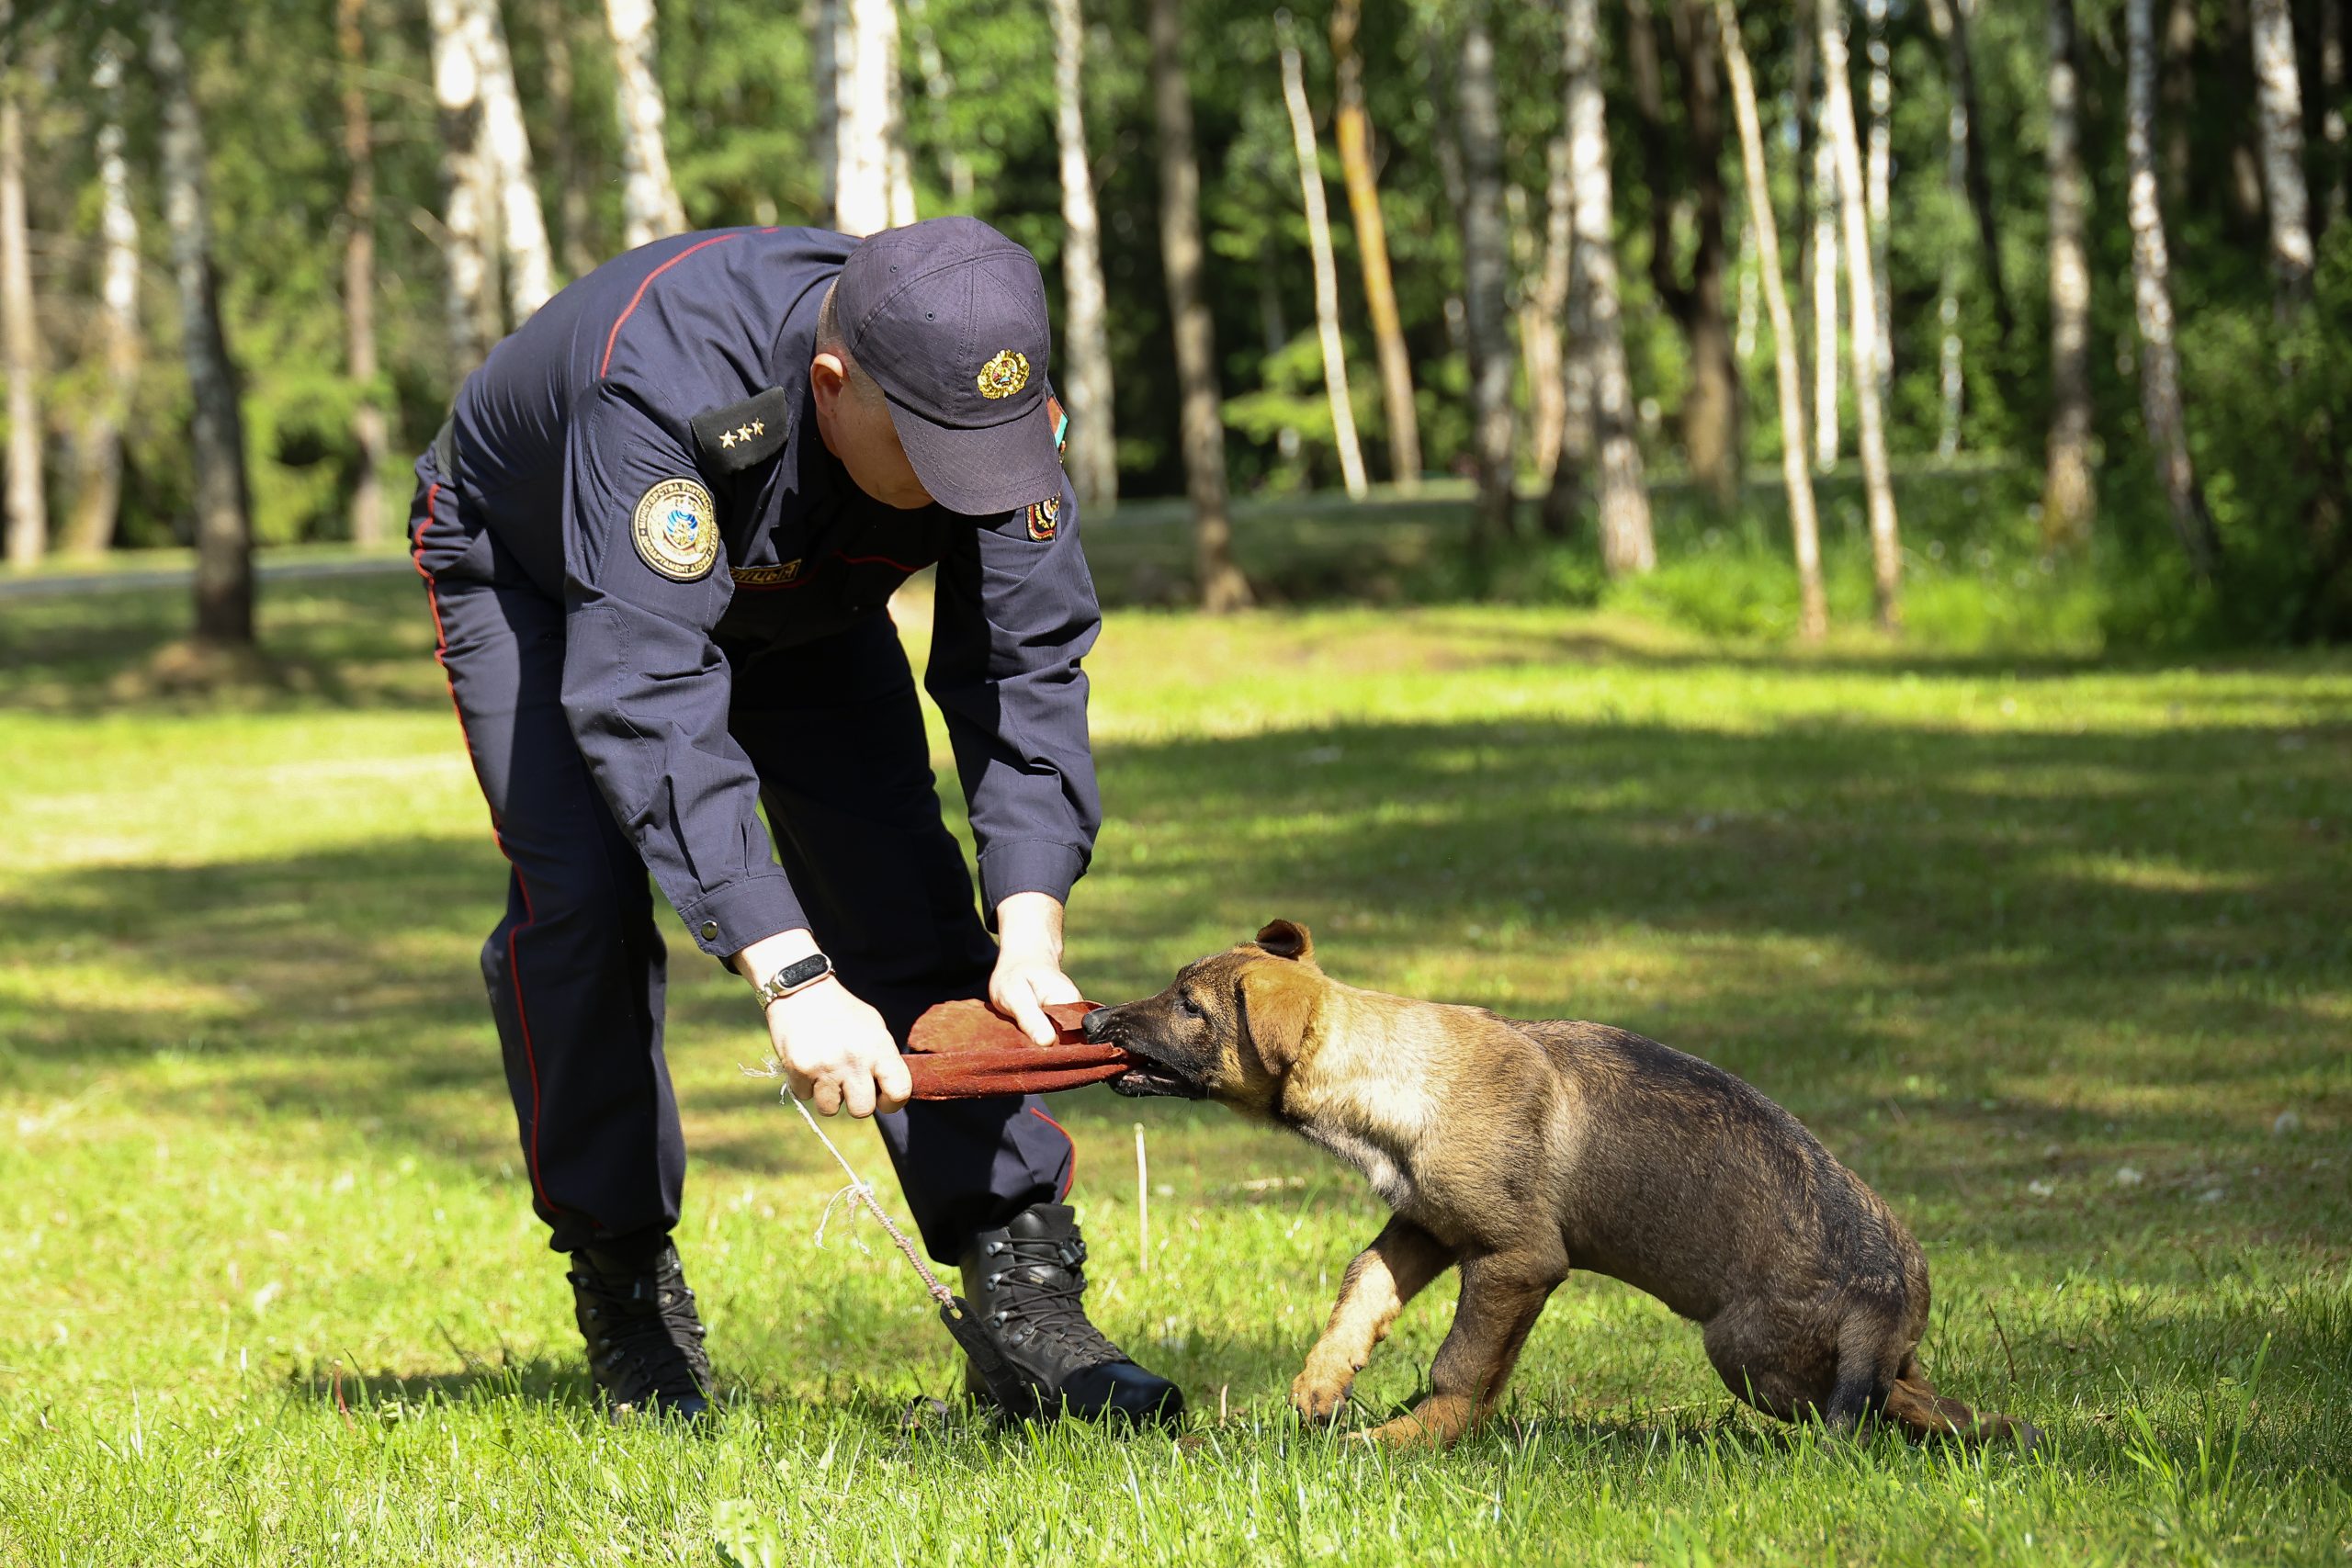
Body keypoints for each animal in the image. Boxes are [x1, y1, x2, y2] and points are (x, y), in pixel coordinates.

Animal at [1091, 921, 2031, 1448]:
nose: (1095, 1016)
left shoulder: (1518, 1260)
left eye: (1189, 1007)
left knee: (1875, 1406)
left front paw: (1410, 1439)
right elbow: (1362, 1291)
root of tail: (1887, 1290)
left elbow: (1460, 1366)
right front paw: (1324, 1384)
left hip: (1747, 1352)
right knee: (1918, 1396)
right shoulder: (1425, 1229)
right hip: (1844, 1353)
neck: (1395, 1074)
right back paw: (1990, 1429)